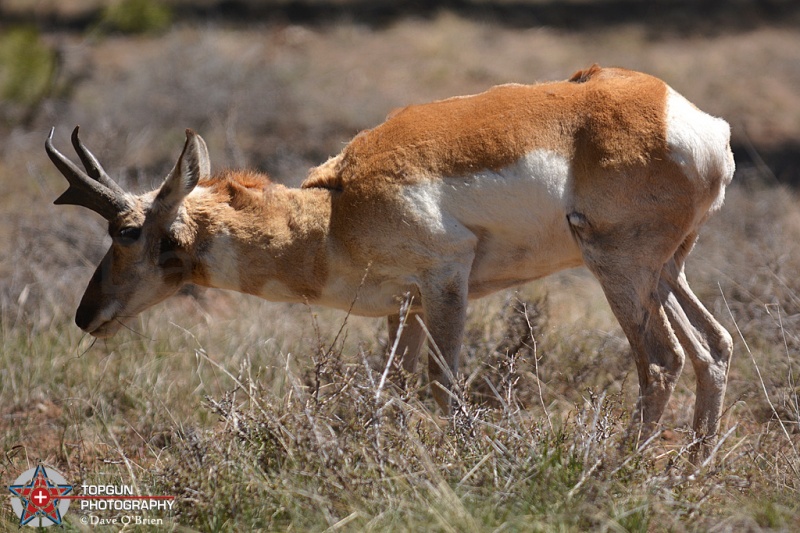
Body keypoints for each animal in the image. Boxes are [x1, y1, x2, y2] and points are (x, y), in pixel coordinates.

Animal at [50, 63, 736, 444]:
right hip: (664, 271)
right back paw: (687, 471)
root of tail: (692, 120)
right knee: (715, 347)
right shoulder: (400, 310)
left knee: (663, 361)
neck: (334, 213)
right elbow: (394, 391)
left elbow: (444, 387)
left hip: (617, 268)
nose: (86, 316)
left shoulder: (445, 283)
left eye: (128, 232)